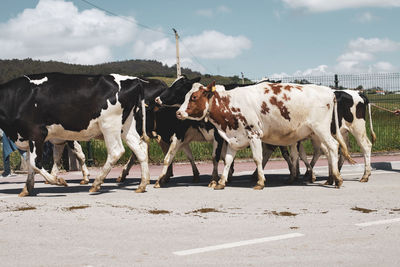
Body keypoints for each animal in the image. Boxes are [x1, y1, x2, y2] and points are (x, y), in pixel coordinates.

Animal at [0, 73, 149, 197]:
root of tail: (134, 80)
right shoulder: (28, 138)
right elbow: (31, 165)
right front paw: (26, 189)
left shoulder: (37, 134)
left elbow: (35, 163)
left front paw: (57, 180)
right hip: (126, 126)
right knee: (140, 149)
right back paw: (142, 184)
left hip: (109, 125)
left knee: (116, 151)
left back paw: (96, 183)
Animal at [176, 81, 354, 191]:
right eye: (185, 96)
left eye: (194, 97)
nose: (178, 112)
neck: (231, 104)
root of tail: (329, 91)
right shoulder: (233, 138)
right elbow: (227, 161)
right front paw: (221, 182)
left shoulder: (254, 134)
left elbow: (257, 159)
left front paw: (260, 182)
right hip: (317, 133)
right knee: (328, 150)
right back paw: (330, 178)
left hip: (321, 129)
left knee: (333, 147)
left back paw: (337, 178)